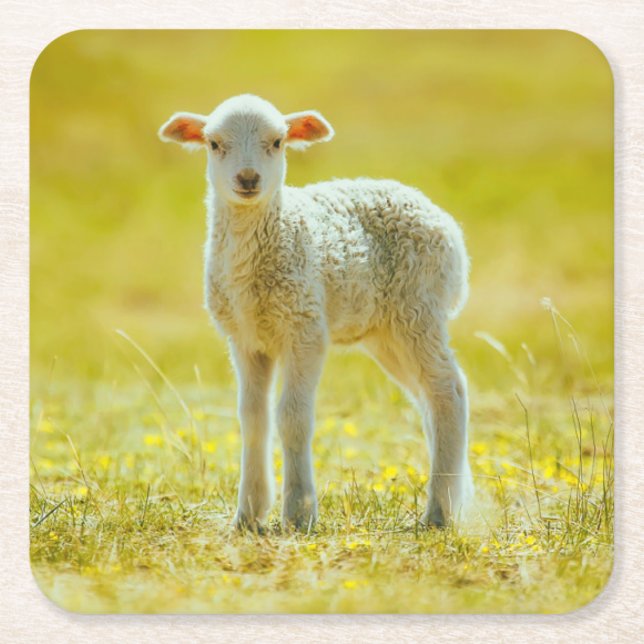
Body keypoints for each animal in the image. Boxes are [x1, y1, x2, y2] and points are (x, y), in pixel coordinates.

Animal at [159, 94, 473, 532]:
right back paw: (452, 497)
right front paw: (249, 514)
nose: (248, 179)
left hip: (419, 308)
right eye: (213, 144)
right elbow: (252, 419)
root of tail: (443, 221)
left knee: (449, 391)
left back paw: (438, 513)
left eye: (278, 142)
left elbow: (292, 417)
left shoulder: (305, 328)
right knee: (428, 397)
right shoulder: (245, 338)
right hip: (386, 331)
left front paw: (298, 512)